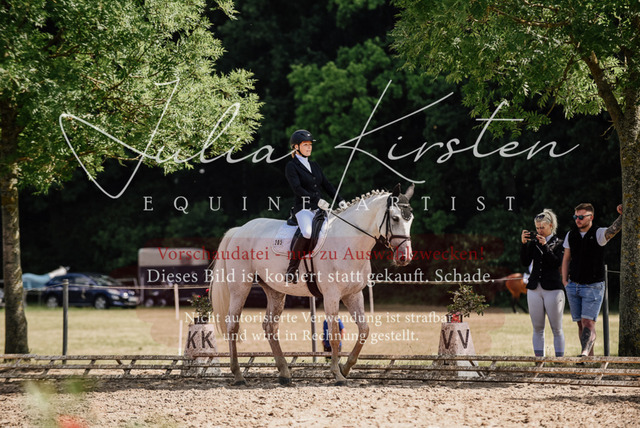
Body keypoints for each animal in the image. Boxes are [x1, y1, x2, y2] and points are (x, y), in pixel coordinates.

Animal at [209, 184, 414, 385]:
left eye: (410, 219)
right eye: (395, 218)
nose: (405, 257)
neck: (349, 241)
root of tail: (240, 229)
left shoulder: (353, 294)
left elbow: (364, 330)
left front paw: (346, 368)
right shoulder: (332, 295)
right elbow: (334, 334)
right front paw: (337, 374)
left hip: (275, 291)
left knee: (270, 327)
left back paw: (284, 373)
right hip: (240, 287)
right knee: (233, 326)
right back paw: (238, 375)